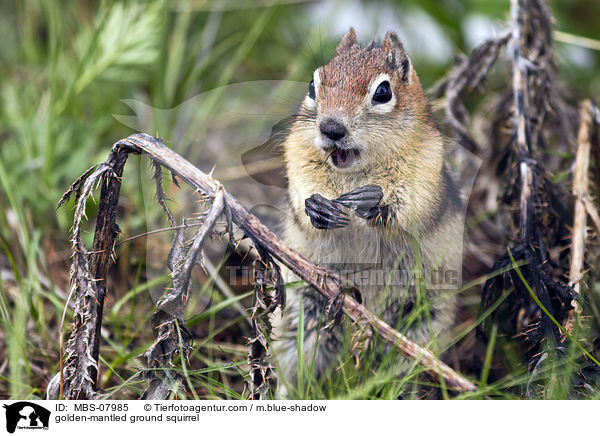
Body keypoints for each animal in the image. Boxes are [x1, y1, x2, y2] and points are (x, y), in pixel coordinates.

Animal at [272, 29, 464, 394]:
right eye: (312, 85)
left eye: (383, 92)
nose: (331, 128)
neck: (354, 170)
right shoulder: (298, 156)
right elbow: (302, 189)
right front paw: (317, 208)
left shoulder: (426, 169)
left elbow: (410, 208)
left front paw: (370, 200)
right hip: (300, 313)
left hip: (422, 321)